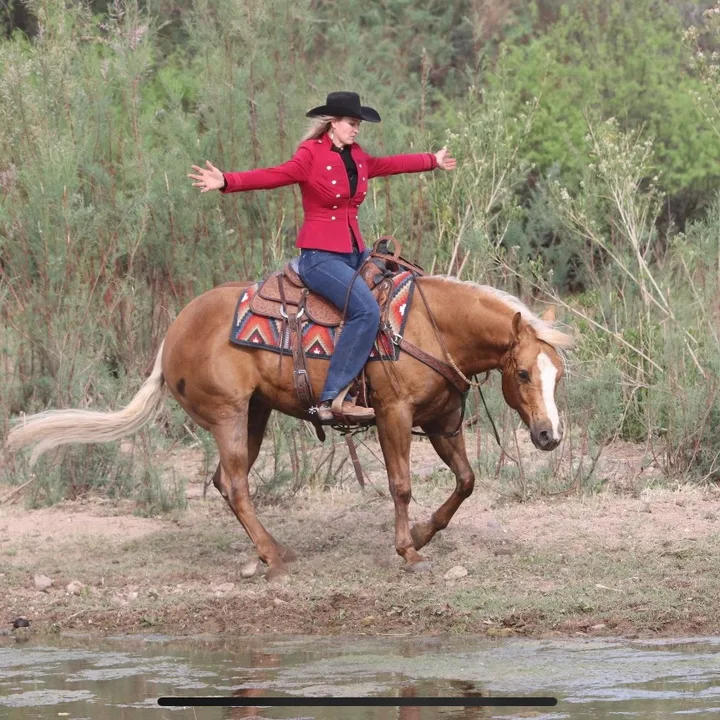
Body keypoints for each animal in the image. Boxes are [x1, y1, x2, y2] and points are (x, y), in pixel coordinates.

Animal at [5, 273, 574, 579]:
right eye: (525, 373)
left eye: (558, 374)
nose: (549, 436)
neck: (428, 327)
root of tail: (173, 333)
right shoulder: (394, 415)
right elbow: (401, 484)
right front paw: (408, 550)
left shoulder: (443, 422)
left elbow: (466, 481)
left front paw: (421, 534)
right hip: (229, 415)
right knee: (235, 484)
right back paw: (275, 556)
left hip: (254, 414)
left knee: (224, 482)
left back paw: (264, 551)